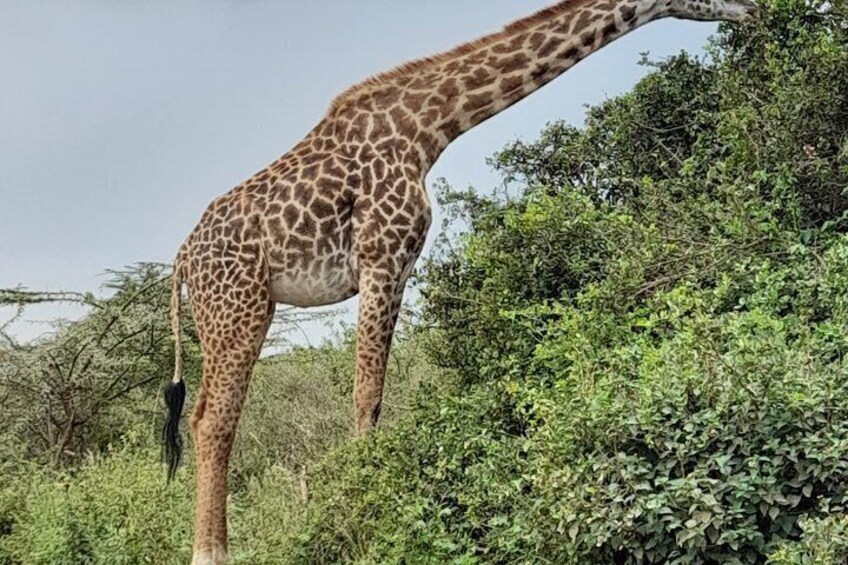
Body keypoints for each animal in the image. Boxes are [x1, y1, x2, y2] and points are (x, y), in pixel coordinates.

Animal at [162, 0, 758, 562]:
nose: (755, 10)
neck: (429, 128)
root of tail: (182, 260)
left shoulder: (400, 267)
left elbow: (375, 394)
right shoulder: (380, 256)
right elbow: (365, 395)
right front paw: (357, 508)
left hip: (241, 312)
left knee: (209, 416)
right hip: (239, 309)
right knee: (213, 420)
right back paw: (209, 552)